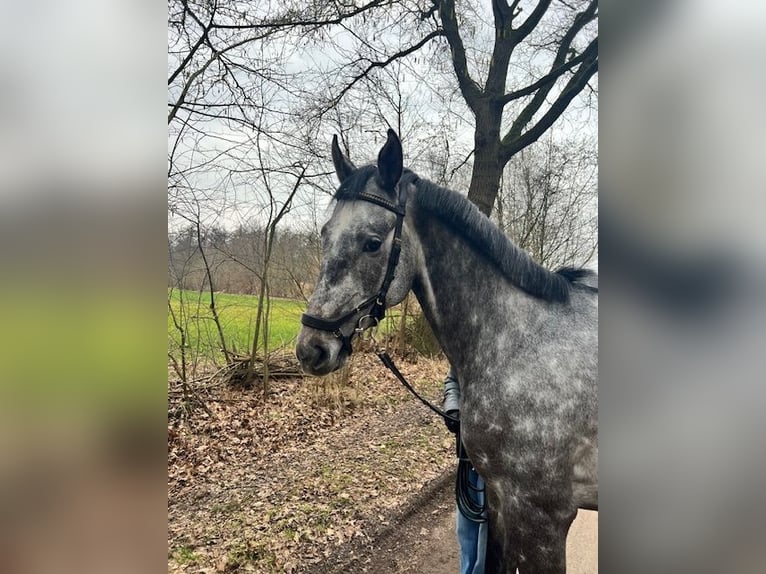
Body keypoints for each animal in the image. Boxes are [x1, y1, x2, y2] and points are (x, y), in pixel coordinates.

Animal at [296, 132, 596, 574]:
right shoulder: (500, 502)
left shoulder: (544, 516)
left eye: (372, 243)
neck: (523, 341)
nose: (311, 348)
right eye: (324, 233)